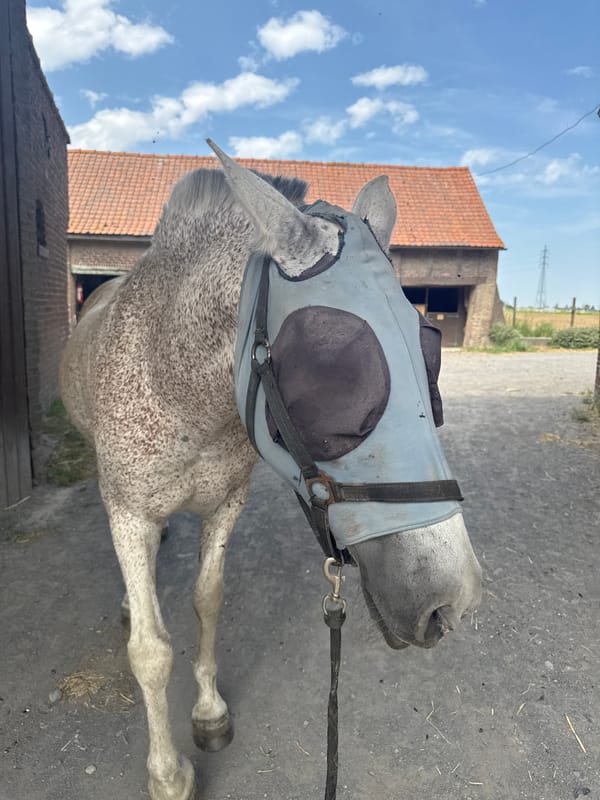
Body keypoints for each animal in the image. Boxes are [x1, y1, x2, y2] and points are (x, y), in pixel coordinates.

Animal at [59, 140, 482, 800]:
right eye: (331, 370)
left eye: (429, 352)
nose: (449, 600)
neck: (176, 382)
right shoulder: (128, 512)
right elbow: (151, 650)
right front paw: (168, 774)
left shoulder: (225, 505)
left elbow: (208, 602)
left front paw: (209, 715)